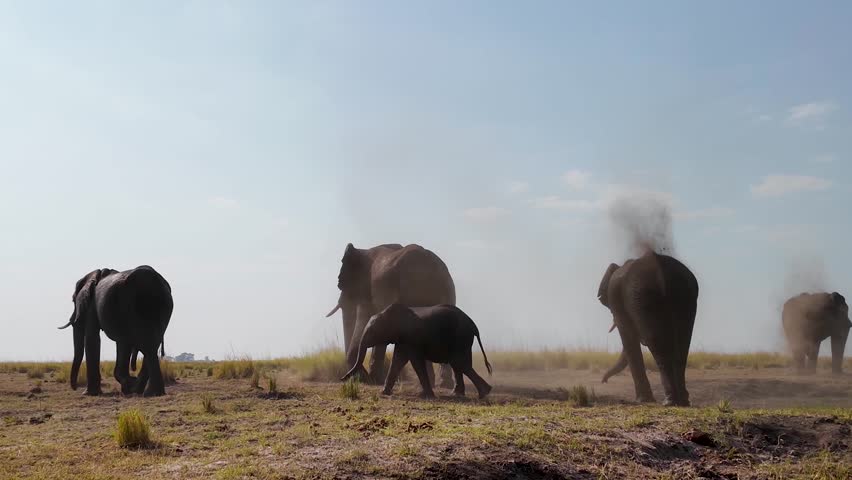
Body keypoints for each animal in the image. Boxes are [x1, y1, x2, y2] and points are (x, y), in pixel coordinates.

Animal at [58, 265, 174, 397]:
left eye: (73, 300)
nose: (75, 388)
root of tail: (153, 282)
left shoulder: (92, 306)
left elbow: (92, 338)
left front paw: (89, 393)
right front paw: (128, 385)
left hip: (129, 305)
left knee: (143, 344)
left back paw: (144, 391)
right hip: (162, 307)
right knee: (149, 345)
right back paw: (144, 391)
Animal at [325, 243, 457, 387]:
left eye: (342, 285)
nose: (343, 378)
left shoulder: (370, 291)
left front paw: (372, 380)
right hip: (446, 289)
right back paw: (442, 384)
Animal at [341, 304, 493, 399]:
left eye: (372, 332)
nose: (342, 379)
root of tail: (474, 325)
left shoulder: (411, 338)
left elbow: (415, 361)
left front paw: (428, 396)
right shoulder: (403, 339)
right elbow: (398, 360)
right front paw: (384, 393)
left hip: (461, 337)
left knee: (459, 363)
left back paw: (484, 393)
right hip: (463, 339)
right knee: (459, 365)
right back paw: (461, 394)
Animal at [597, 251, 699, 407]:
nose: (604, 381)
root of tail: (662, 270)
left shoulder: (615, 297)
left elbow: (628, 336)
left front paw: (642, 400)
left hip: (645, 298)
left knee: (656, 343)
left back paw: (669, 401)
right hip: (686, 295)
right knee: (683, 341)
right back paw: (683, 401)